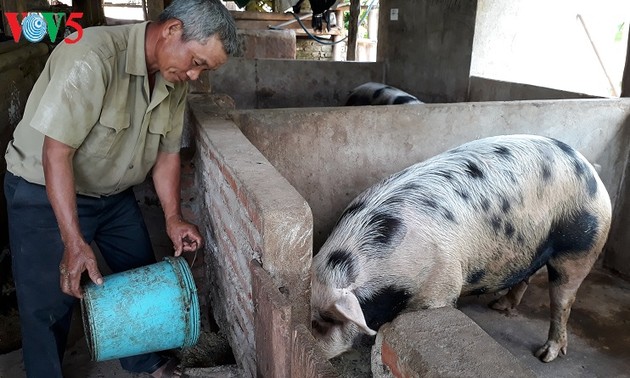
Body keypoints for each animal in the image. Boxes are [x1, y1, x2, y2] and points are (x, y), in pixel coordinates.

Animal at [314, 134, 616, 362]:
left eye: (326, 320)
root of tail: (590, 168)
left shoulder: (442, 284)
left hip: (581, 245)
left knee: (563, 300)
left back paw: (546, 355)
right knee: (526, 275)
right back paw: (499, 306)